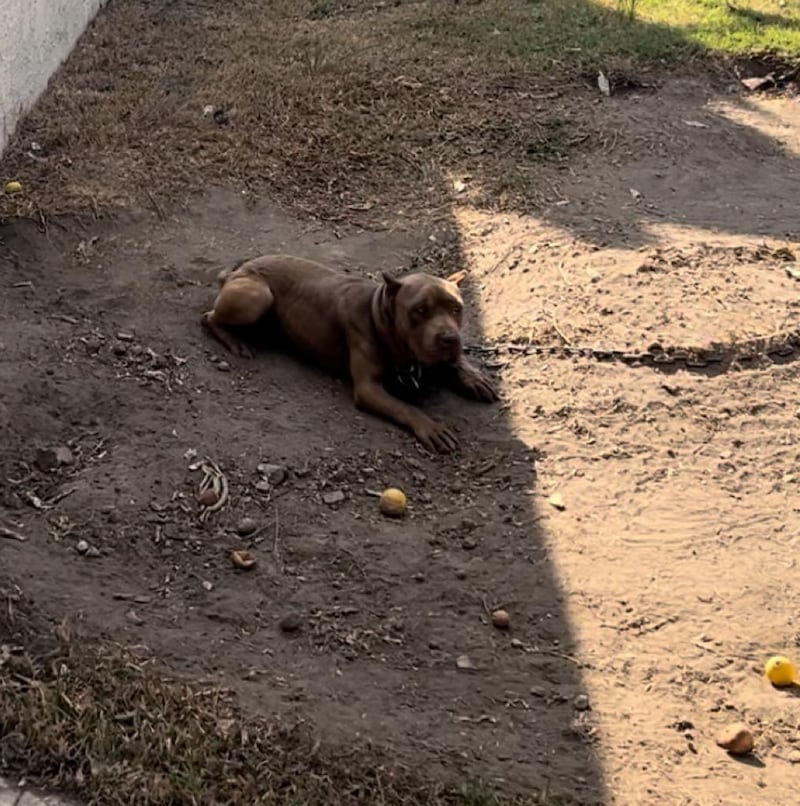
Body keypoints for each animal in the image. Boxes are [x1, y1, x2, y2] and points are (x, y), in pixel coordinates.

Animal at [200, 256, 496, 452]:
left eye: (457, 308)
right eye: (420, 310)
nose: (449, 338)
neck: (380, 315)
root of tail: (239, 269)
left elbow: (456, 362)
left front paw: (474, 377)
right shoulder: (368, 389)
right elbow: (405, 406)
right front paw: (430, 426)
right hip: (257, 296)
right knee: (209, 317)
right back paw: (235, 340)